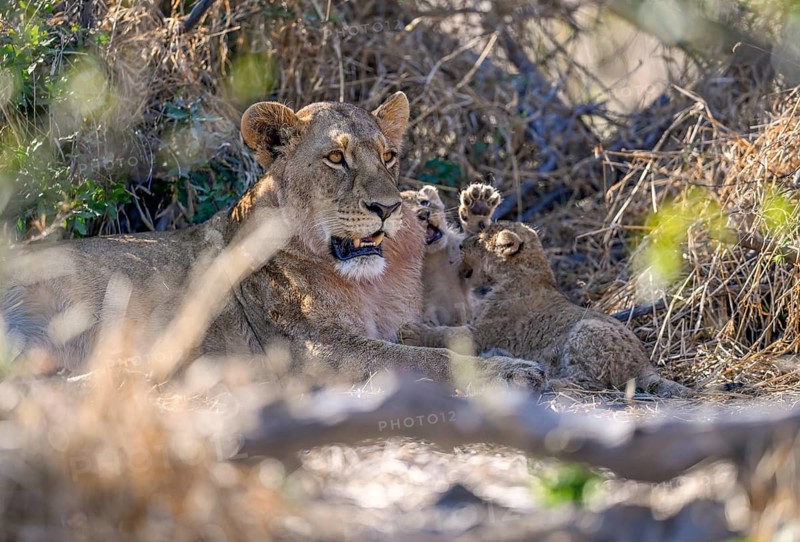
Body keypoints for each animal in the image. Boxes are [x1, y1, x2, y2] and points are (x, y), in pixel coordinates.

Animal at [400, 221, 692, 397]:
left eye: (480, 239)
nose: (460, 244)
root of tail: (646, 366)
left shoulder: (484, 332)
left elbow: (448, 333)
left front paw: (412, 332)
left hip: (586, 330)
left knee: (587, 384)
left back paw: (546, 380)